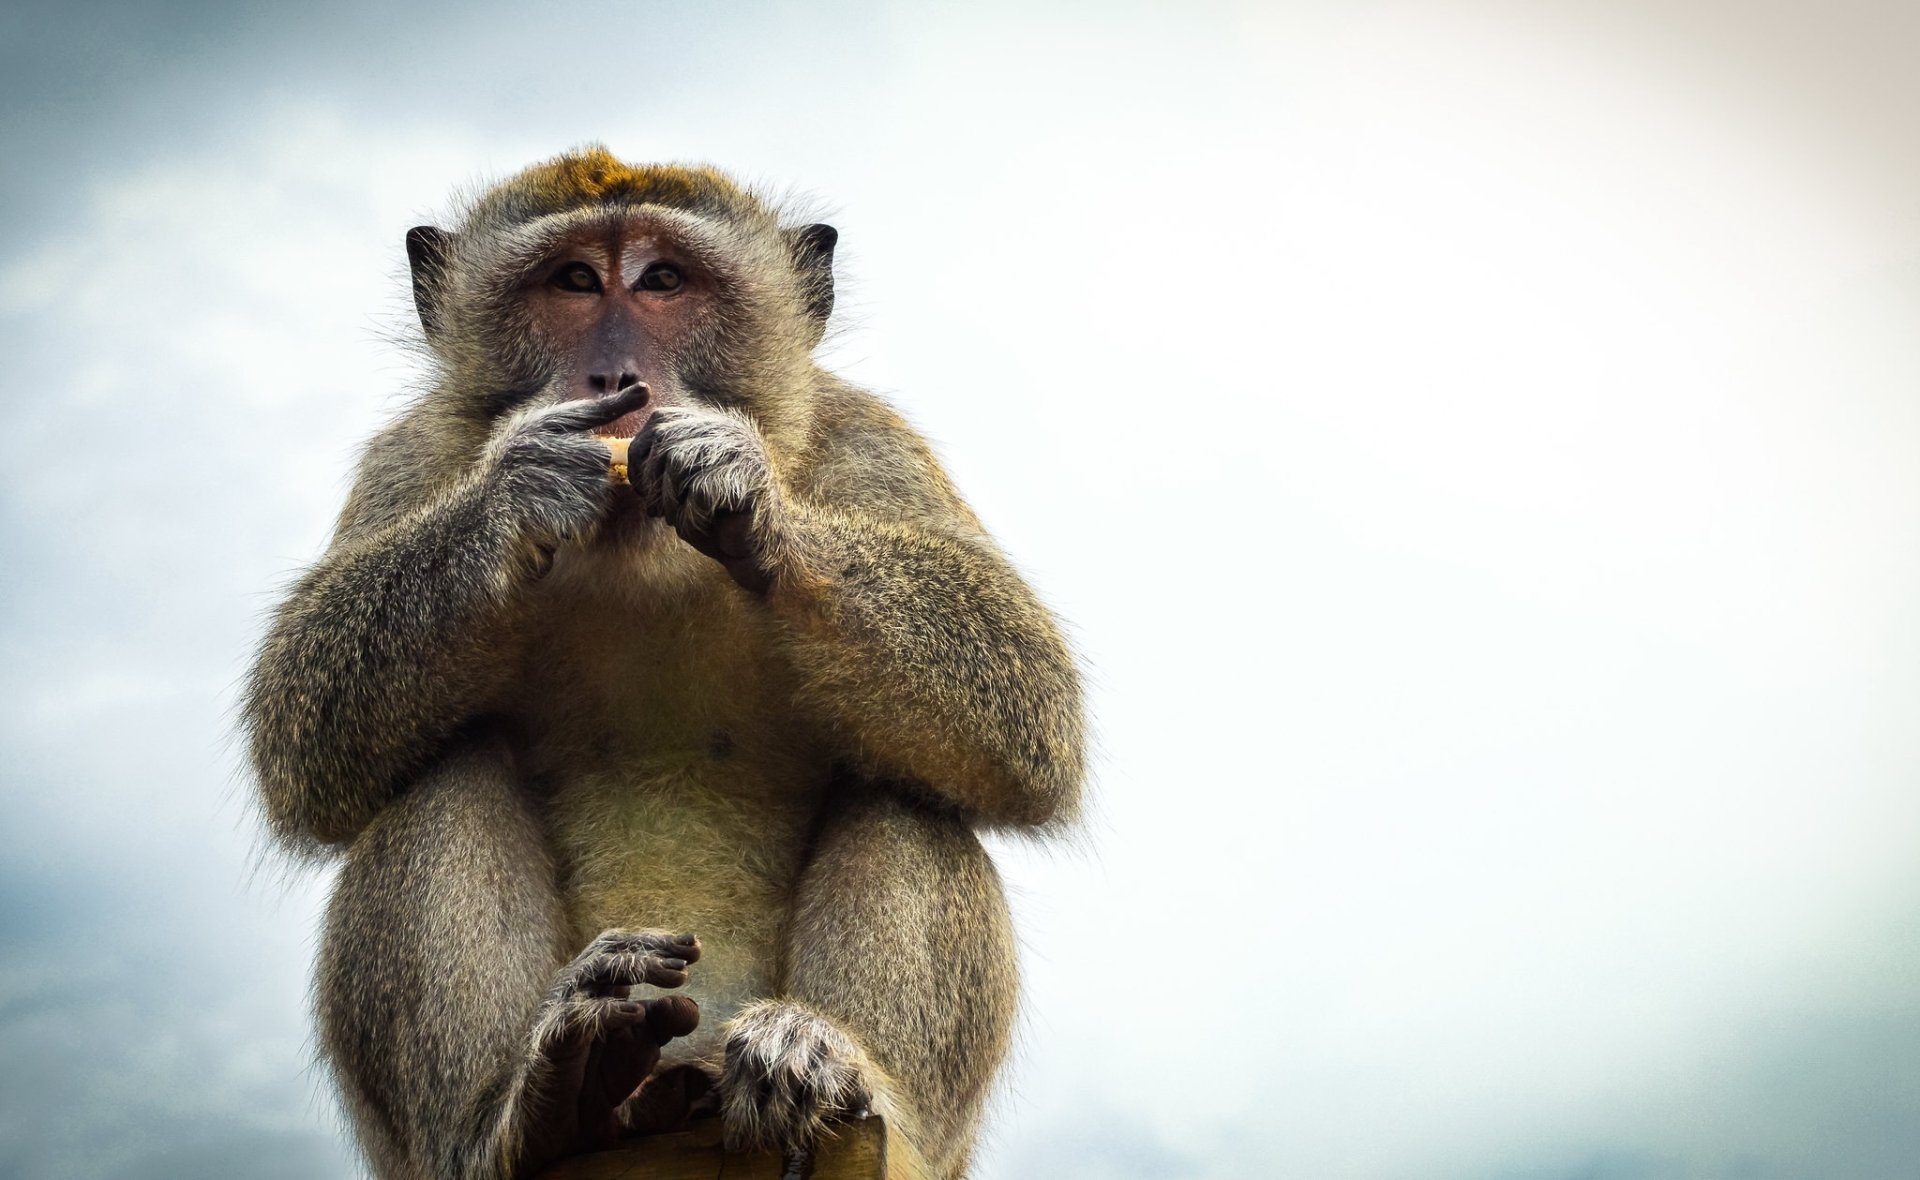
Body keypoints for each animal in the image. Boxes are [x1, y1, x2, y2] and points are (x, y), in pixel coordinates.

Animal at [240, 147, 1084, 1180]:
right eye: (572, 281)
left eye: (663, 281)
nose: (616, 371)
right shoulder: (411, 454)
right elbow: (302, 733)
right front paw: (518, 490)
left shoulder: (867, 435)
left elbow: (1025, 700)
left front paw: (746, 496)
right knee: (439, 775)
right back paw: (530, 1109)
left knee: (913, 782)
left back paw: (828, 1067)